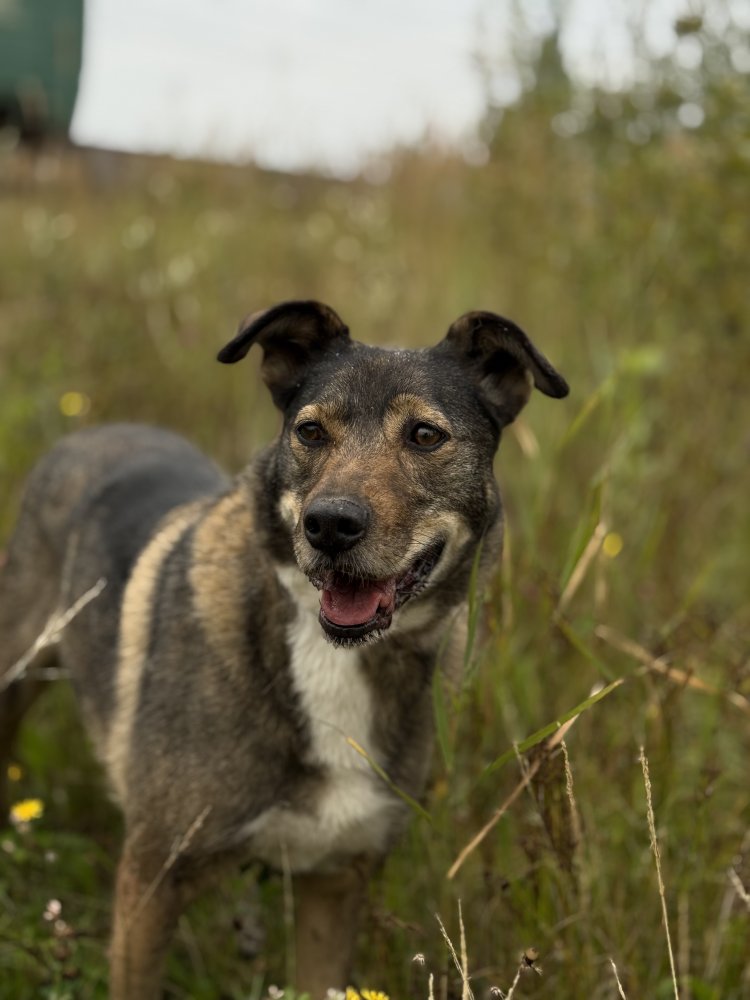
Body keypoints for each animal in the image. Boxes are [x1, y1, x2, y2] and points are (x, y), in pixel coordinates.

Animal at [0, 300, 568, 998]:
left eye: (425, 436)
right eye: (310, 431)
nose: (330, 525)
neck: (331, 655)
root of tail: (89, 431)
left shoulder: (336, 881)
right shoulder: (151, 880)